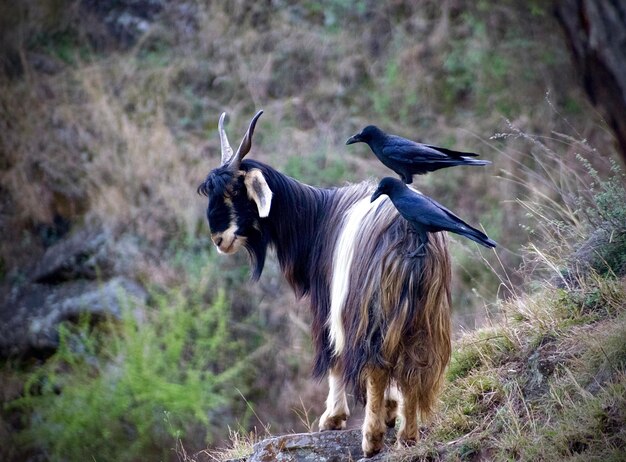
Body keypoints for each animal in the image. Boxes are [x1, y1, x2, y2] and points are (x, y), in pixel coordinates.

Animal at [197, 111, 450, 458]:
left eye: (234, 191)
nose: (218, 239)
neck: (317, 217)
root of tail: (410, 239)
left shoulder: (328, 302)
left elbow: (333, 354)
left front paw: (333, 418)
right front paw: (389, 410)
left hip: (369, 307)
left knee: (375, 365)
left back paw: (371, 439)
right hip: (424, 313)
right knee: (413, 367)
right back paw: (408, 436)